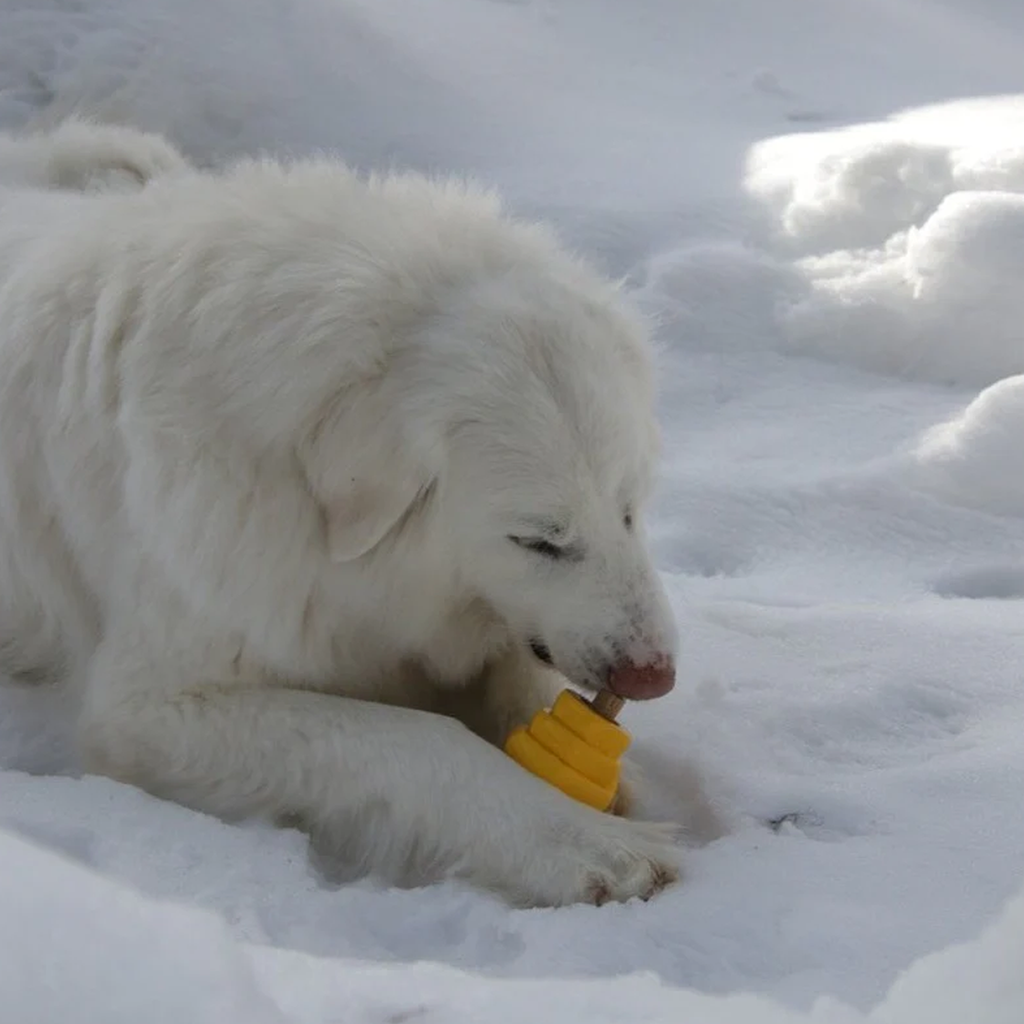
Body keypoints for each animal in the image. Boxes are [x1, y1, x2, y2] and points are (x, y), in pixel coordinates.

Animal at [2, 116, 688, 909]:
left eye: (631, 510)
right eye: (538, 541)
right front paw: (579, 841)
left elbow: (519, 677)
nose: (655, 676)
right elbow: (422, 739)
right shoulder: (150, 709)